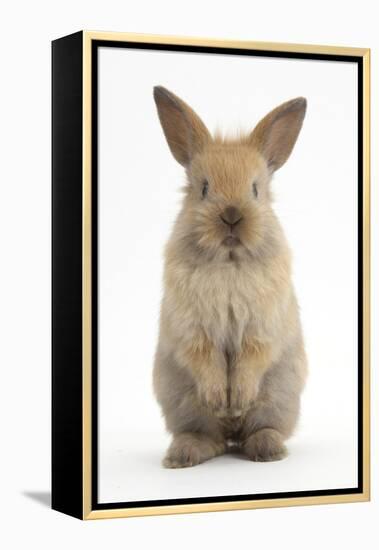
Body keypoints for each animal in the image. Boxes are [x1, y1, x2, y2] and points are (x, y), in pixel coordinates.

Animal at [152, 86, 308, 470]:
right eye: (204, 188)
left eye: (255, 189)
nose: (232, 216)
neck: (228, 262)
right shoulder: (193, 331)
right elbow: (205, 358)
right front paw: (220, 399)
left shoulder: (261, 329)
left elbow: (251, 358)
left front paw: (236, 400)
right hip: (182, 402)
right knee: (211, 437)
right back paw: (184, 454)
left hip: (278, 397)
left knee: (260, 429)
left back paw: (266, 449)